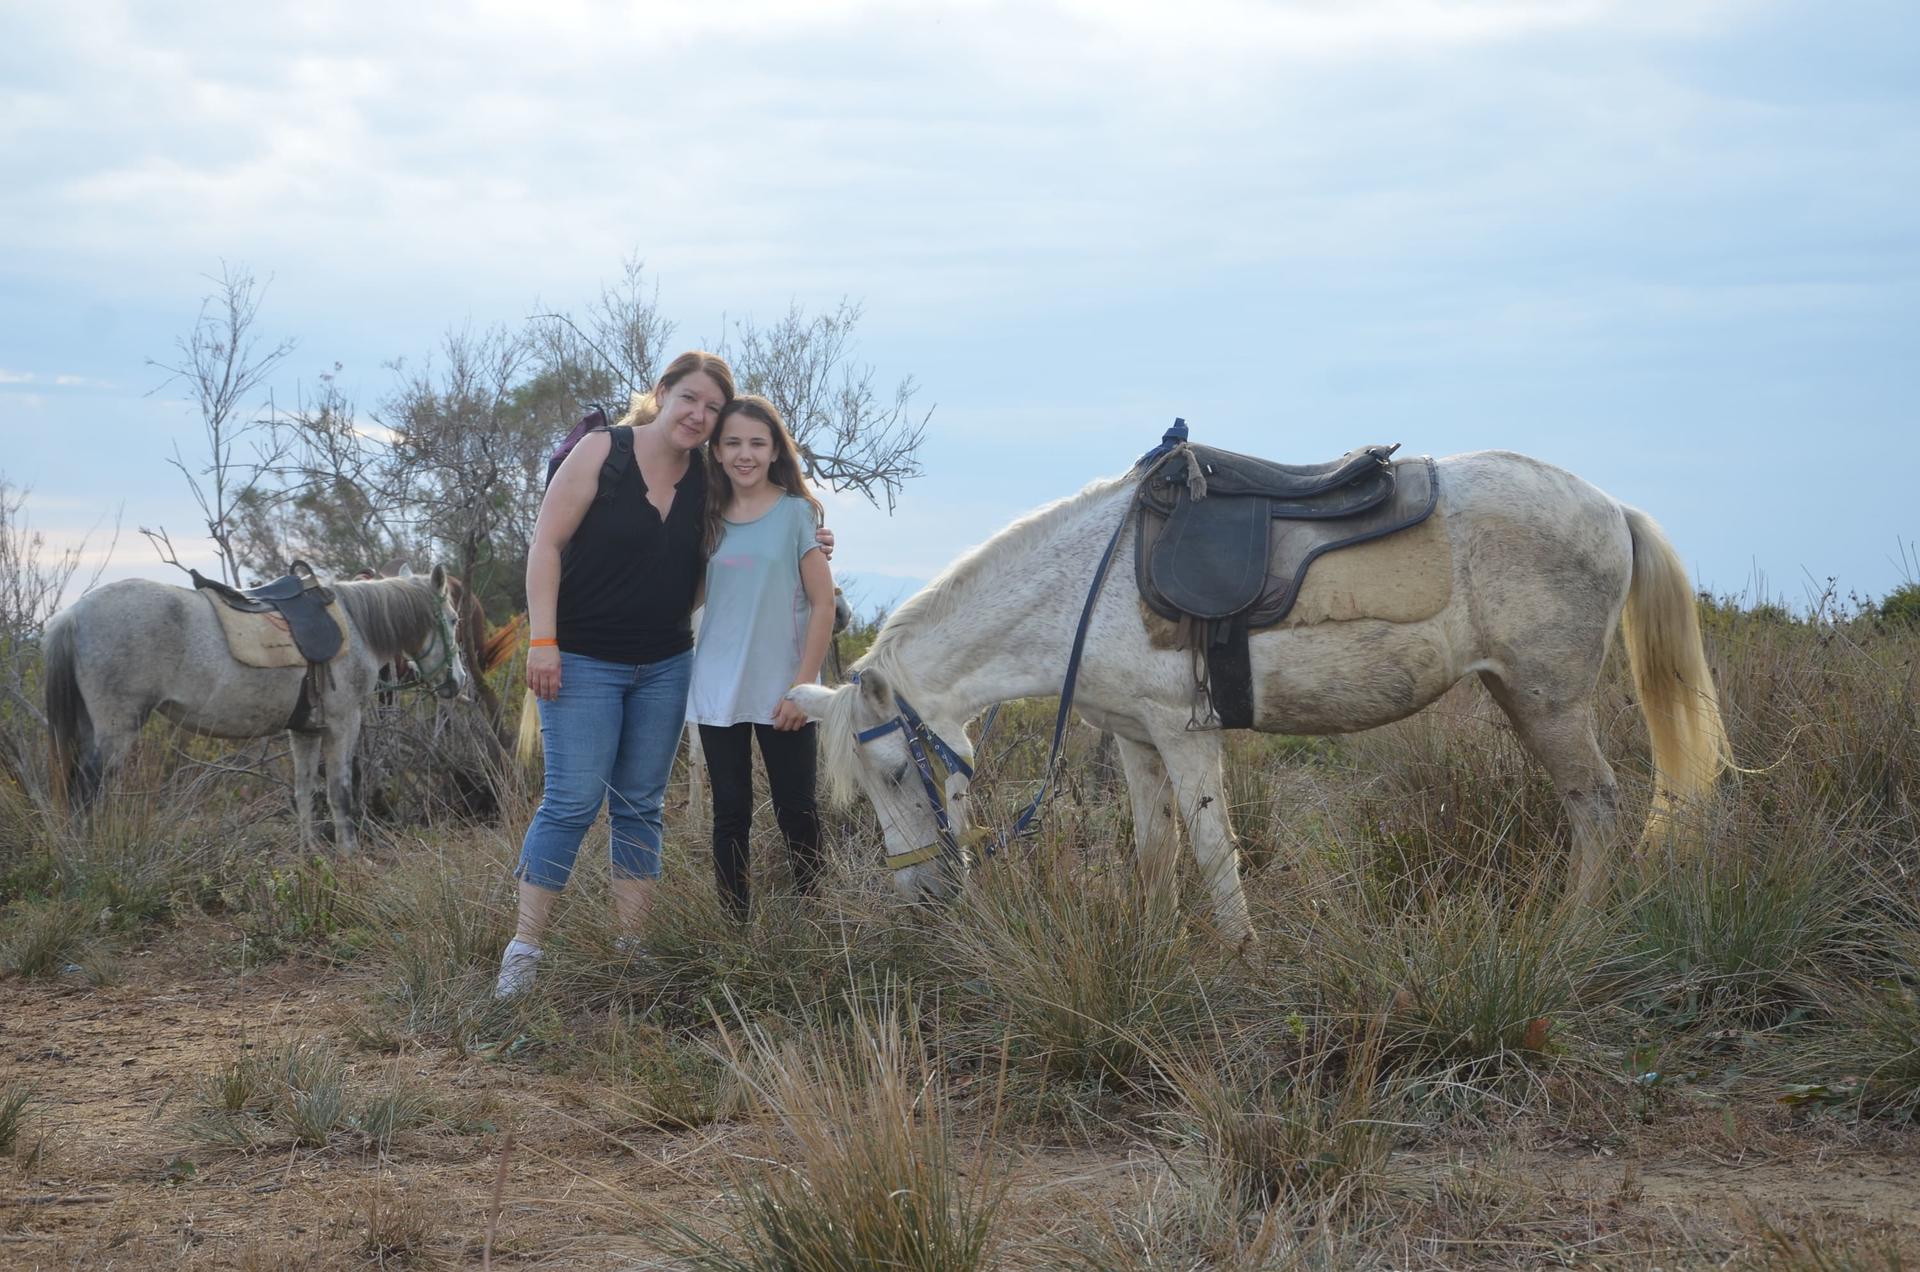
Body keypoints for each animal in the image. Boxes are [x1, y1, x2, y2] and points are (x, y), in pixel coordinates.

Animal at [44, 567, 469, 853]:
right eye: (452, 619)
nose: (459, 682)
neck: (354, 626)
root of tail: (73, 614)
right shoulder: (343, 723)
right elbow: (340, 791)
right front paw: (350, 855)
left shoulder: (305, 730)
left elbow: (303, 791)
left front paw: (309, 853)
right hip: (116, 730)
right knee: (86, 790)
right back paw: (84, 857)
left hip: (89, 727)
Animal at [788, 449, 1735, 943]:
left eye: (897, 775)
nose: (922, 898)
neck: (1081, 589)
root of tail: (1611, 506)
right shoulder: (1133, 739)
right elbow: (1154, 851)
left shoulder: (1183, 733)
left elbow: (1213, 848)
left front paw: (1238, 952)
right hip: (1521, 696)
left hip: (1550, 701)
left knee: (1598, 810)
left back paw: (1571, 933)